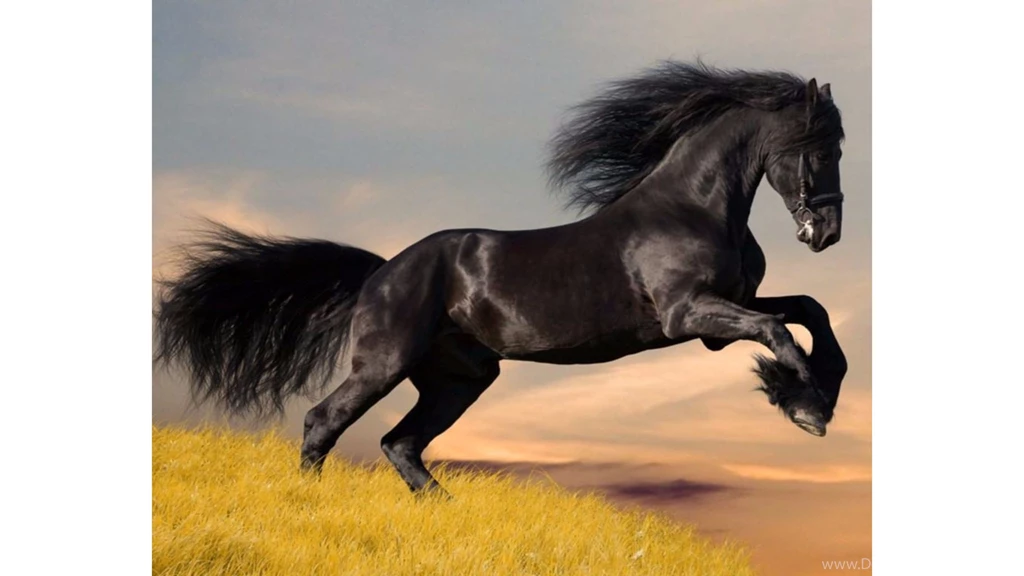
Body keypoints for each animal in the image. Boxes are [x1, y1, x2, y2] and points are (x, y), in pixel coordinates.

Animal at [154, 61, 849, 496]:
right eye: (821, 147)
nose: (827, 233)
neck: (693, 207)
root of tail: (383, 271)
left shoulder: (722, 313)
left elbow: (808, 310)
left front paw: (814, 394)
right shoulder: (689, 315)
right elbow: (778, 330)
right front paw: (804, 405)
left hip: (460, 378)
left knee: (400, 443)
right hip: (385, 364)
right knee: (324, 422)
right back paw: (311, 502)